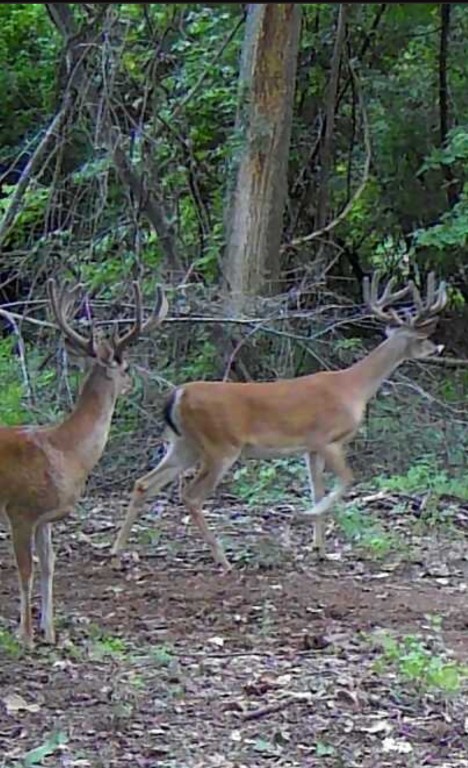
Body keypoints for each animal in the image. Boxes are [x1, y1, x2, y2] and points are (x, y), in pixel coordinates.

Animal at [0, 277, 168, 647]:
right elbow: (26, 570)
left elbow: (49, 566)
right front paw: (26, 635)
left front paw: (49, 632)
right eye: (126, 366)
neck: (65, 452)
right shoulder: (19, 510)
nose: (133, 383)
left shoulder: (45, 517)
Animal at [111, 272, 447, 571]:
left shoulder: (310, 448)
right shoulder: (327, 438)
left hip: (185, 444)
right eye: (424, 337)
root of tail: (178, 395)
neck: (353, 388)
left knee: (144, 483)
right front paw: (306, 516)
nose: (438, 348)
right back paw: (222, 558)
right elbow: (347, 480)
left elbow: (318, 488)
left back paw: (117, 549)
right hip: (220, 445)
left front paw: (320, 549)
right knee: (191, 496)